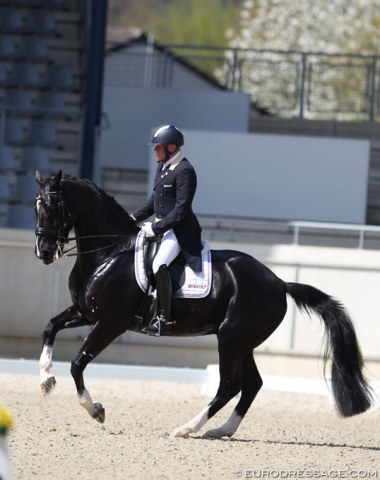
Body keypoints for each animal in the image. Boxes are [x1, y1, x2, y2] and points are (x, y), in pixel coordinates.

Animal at [34, 170, 372, 438]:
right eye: (36, 205)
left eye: (53, 207)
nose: (44, 252)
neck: (110, 253)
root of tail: (278, 282)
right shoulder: (86, 313)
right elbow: (49, 328)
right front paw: (46, 380)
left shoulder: (110, 323)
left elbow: (77, 363)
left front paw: (95, 409)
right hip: (241, 342)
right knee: (252, 384)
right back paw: (221, 430)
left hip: (231, 339)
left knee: (229, 386)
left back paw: (187, 428)